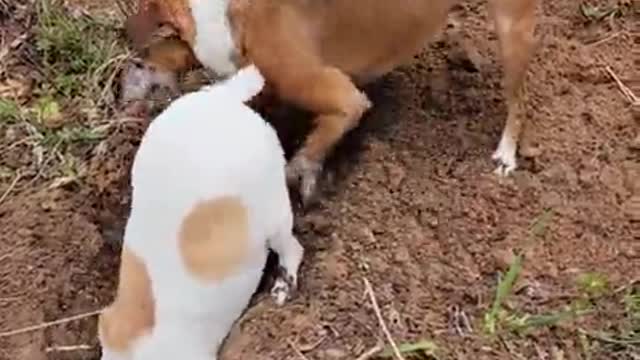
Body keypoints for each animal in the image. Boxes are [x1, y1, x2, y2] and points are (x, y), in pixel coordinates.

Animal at [122, 0, 536, 205]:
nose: (127, 35)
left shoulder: (336, 92)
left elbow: (316, 144)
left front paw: (300, 176)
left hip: (512, 29)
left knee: (520, 102)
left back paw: (506, 155)